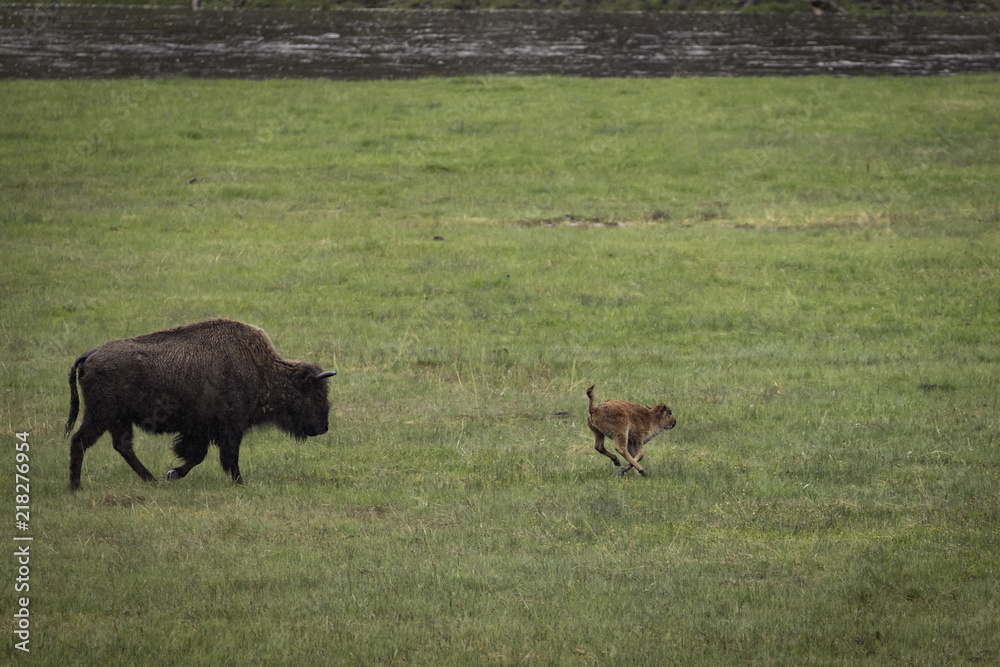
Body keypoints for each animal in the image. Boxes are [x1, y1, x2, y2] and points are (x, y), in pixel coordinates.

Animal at [65, 318, 336, 490]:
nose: (324, 426)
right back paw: (76, 487)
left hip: (118, 419)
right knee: (80, 441)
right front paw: (239, 482)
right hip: (101, 415)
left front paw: (171, 475)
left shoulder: (204, 430)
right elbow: (224, 457)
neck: (262, 369)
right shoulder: (228, 428)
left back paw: (151, 480)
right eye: (314, 394)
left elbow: (199, 456)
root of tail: (90, 356)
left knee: (122, 446)